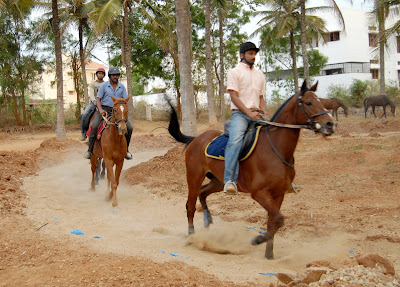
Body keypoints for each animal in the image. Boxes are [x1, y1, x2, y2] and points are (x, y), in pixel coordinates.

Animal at [167, 81, 336, 260]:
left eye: (321, 102)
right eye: (308, 103)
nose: (330, 124)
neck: (275, 149)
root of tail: (195, 139)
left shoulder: (279, 194)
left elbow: (273, 222)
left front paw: (269, 254)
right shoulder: (259, 193)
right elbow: (279, 219)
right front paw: (258, 239)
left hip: (218, 181)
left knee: (203, 193)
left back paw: (208, 219)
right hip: (194, 177)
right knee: (190, 205)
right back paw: (192, 237)